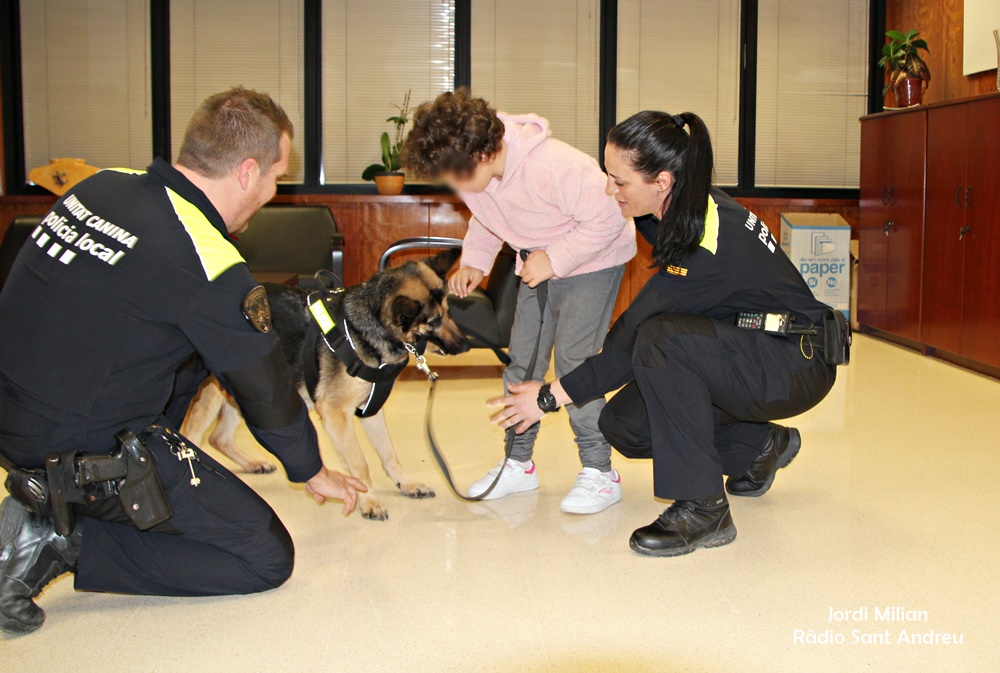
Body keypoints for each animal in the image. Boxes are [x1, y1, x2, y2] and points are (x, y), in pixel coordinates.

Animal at [181, 251, 468, 520]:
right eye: (434, 322)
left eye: (448, 311)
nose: (466, 344)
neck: (364, 329)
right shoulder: (335, 414)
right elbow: (360, 463)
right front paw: (369, 501)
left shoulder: (370, 411)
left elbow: (389, 454)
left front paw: (406, 484)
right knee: (191, 438)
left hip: (251, 396)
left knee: (219, 438)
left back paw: (251, 464)